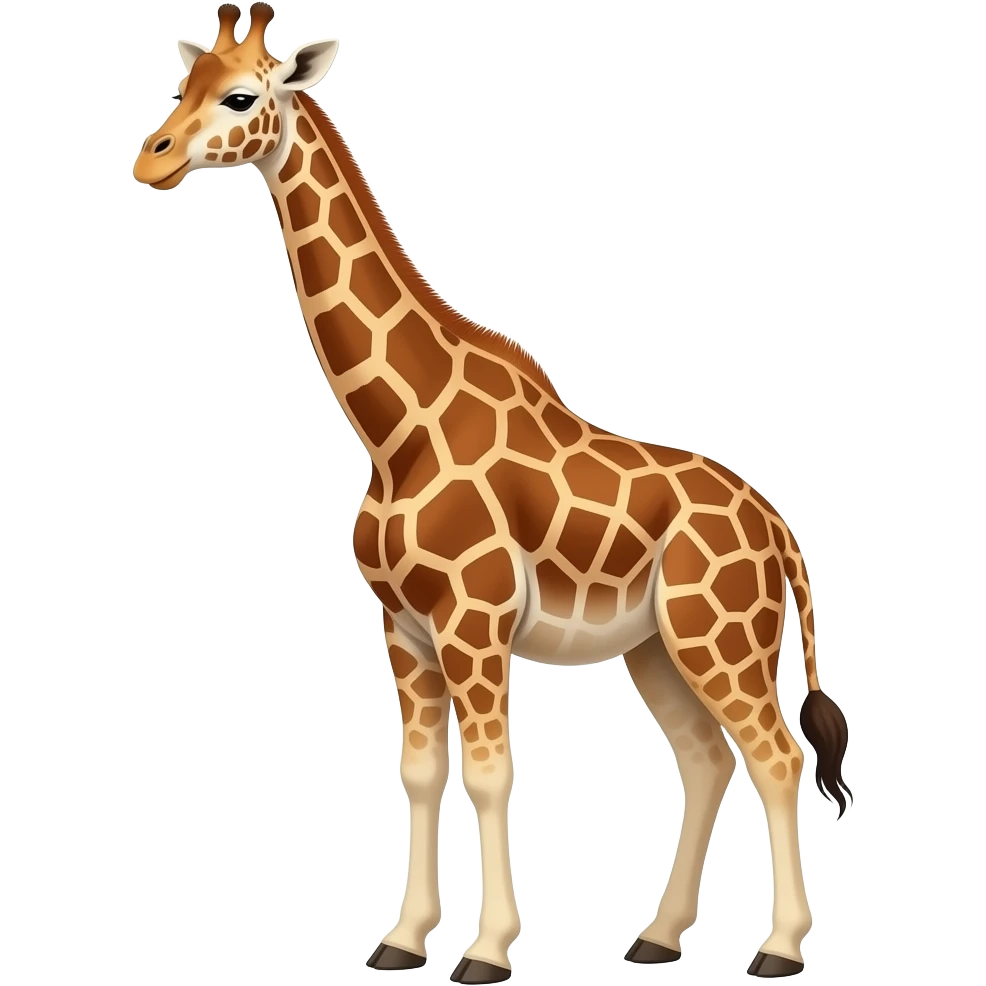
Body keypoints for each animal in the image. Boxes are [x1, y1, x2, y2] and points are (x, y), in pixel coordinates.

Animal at [131, 5, 854, 982]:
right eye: (185, 84)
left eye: (243, 95)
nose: (153, 159)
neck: (394, 430)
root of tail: (779, 530)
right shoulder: (402, 628)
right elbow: (418, 771)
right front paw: (402, 940)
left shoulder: (473, 623)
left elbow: (488, 772)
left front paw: (485, 949)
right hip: (657, 648)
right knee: (707, 759)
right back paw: (657, 938)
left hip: (720, 638)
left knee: (773, 755)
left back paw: (777, 948)